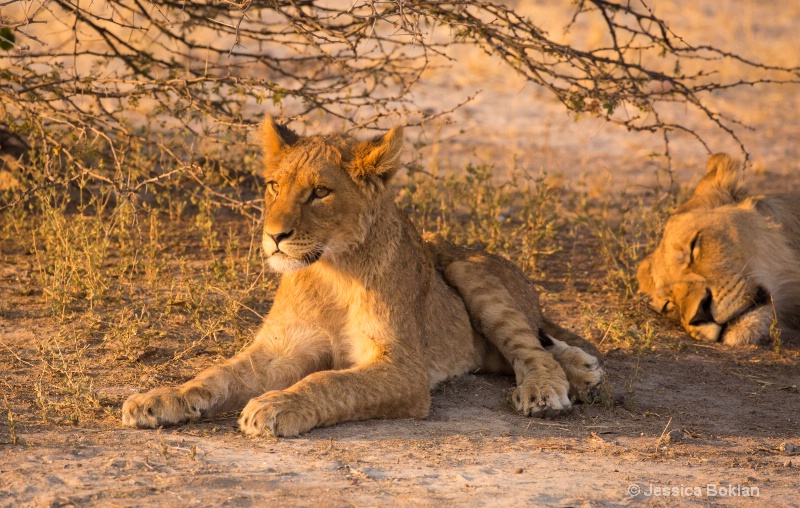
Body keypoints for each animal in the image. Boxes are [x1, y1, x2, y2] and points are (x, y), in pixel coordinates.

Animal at [122, 116, 604, 436]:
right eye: (274, 185)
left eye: (320, 192)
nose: (274, 236)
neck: (329, 272)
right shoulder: (281, 350)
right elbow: (217, 375)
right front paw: (161, 398)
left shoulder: (404, 370)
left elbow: (330, 381)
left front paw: (276, 405)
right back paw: (583, 369)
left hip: (468, 269)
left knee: (531, 347)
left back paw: (554, 386)